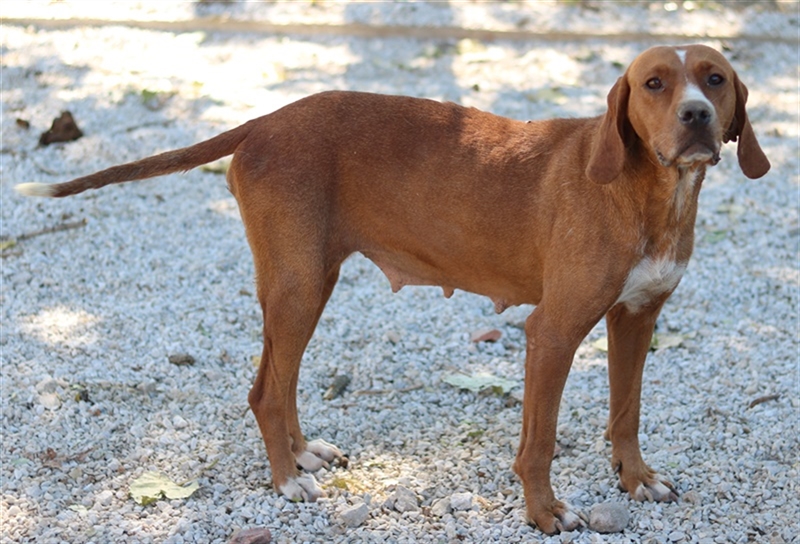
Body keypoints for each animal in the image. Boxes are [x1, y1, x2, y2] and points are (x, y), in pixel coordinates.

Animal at [17, 44, 769, 534]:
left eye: (715, 79)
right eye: (654, 84)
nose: (697, 117)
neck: (648, 194)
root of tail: (264, 120)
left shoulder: (636, 319)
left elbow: (627, 412)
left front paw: (635, 479)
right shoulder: (552, 332)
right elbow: (540, 440)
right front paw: (544, 512)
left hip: (308, 282)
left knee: (278, 380)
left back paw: (301, 452)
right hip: (297, 285)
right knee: (265, 390)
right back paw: (287, 480)